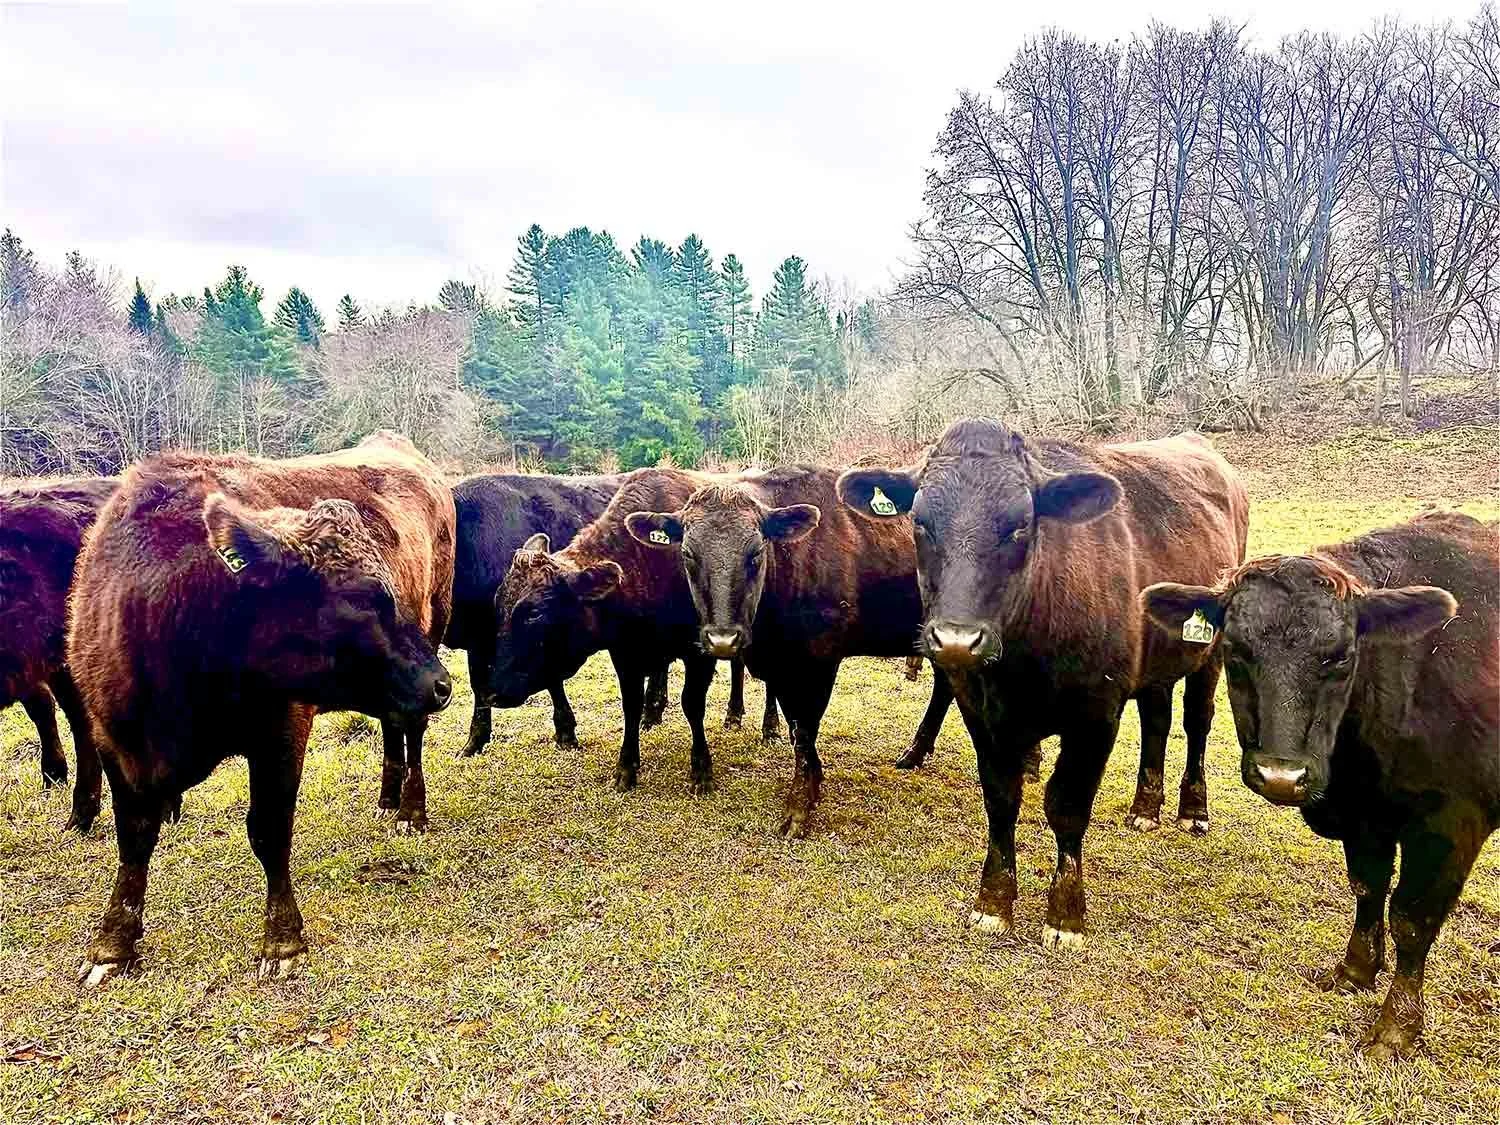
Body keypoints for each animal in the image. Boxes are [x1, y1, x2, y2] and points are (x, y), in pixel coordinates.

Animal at [67, 433, 455, 985]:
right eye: (363, 598)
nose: (440, 683)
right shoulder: (114, 742)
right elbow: (134, 837)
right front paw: (113, 944)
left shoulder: (282, 730)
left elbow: (269, 830)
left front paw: (283, 939)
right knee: (394, 723)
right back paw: (387, 793)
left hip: (436, 622)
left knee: (413, 727)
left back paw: (410, 808)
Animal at [624, 466, 960, 836]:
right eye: (687, 555)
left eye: (756, 552)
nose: (723, 639)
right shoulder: (782, 667)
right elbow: (796, 725)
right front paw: (812, 781)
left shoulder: (820, 660)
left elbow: (806, 727)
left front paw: (800, 805)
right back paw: (915, 753)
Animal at [836, 419, 1248, 949]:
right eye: (921, 524)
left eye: (1021, 526)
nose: (956, 640)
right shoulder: (981, 712)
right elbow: (1001, 797)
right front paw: (993, 902)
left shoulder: (1096, 715)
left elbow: (1068, 805)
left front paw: (1066, 913)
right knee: (1157, 719)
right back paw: (1145, 806)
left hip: (1209, 645)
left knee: (1197, 721)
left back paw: (1193, 808)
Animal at [1142, 512, 1498, 1060]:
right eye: (1236, 650)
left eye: (1341, 657)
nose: (1280, 775)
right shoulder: (1364, 817)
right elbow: (1368, 887)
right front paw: (1355, 970)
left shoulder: (1450, 824)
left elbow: (1412, 920)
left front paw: (1396, 1027)